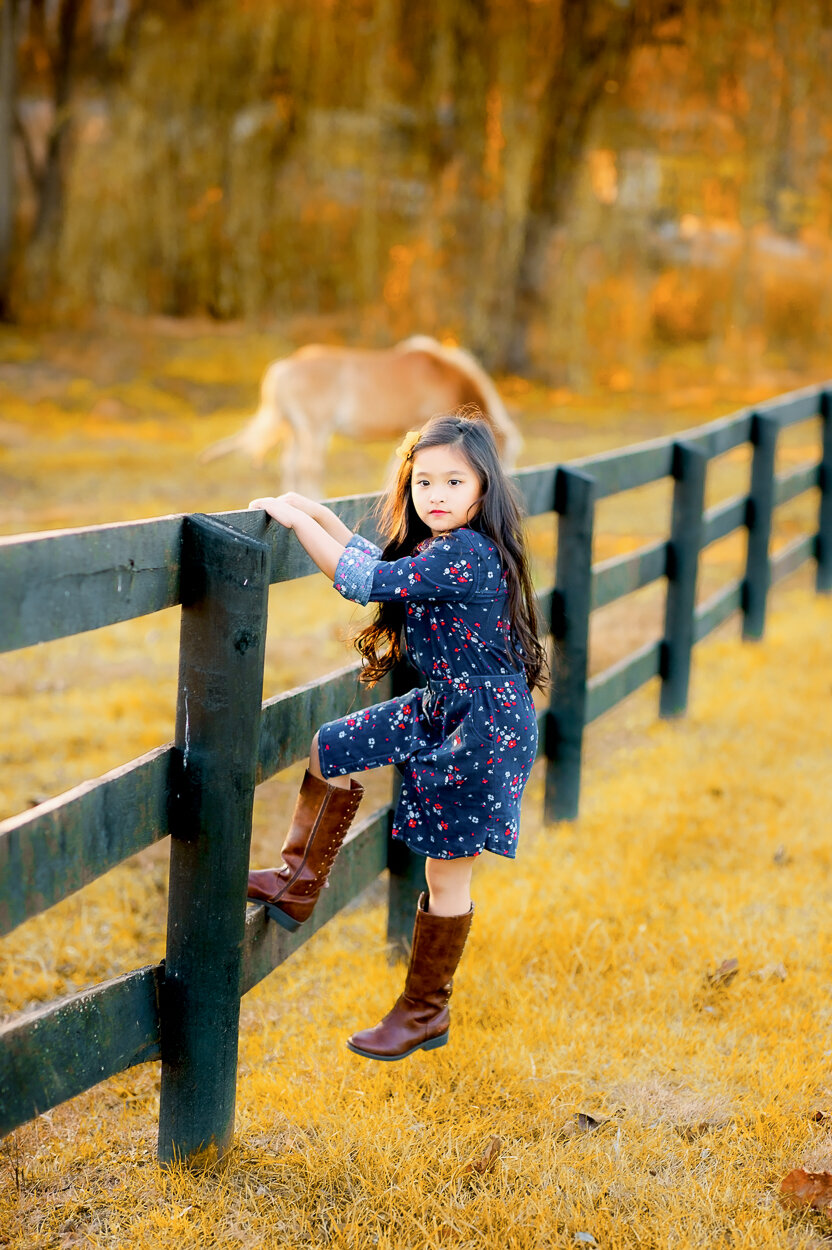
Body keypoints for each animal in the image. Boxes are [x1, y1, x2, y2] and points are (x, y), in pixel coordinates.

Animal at [199, 342, 519, 502]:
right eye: (501, 459)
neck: (444, 376)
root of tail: (284, 367)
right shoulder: (420, 425)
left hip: (296, 429)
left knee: (290, 464)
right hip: (316, 428)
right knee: (309, 466)